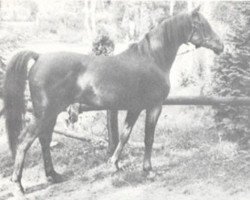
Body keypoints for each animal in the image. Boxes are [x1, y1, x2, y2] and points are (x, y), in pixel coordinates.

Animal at [3, 6, 223, 198]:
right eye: (201, 24)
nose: (221, 46)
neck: (152, 58)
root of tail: (39, 57)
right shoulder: (154, 107)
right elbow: (148, 138)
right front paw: (149, 170)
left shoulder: (134, 108)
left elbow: (124, 136)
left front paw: (114, 164)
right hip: (45, 113)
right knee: (24, 142)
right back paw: (18, 186)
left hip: (52, 113)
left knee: (44, 140)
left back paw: (53, 176)